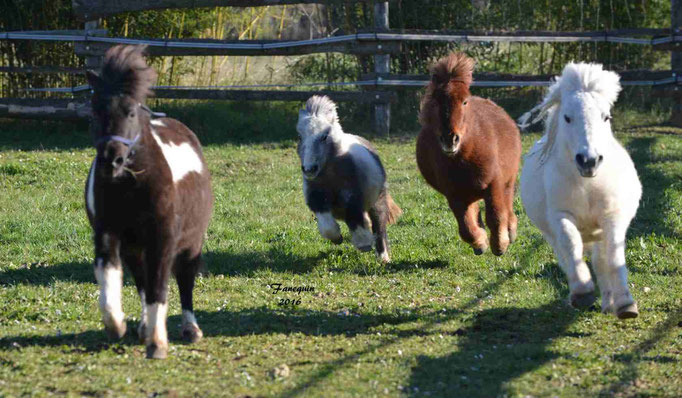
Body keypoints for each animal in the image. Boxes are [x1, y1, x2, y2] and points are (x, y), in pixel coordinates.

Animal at [85, 45, 212, 360]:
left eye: (130, 112)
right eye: (94, 111)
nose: (111, 160)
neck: (131, 186)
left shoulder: (163, 240)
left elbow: (159, 288)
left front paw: (157, 344)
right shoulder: (108, 236)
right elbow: (111, 282)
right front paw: (117, 325)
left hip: (190, 244)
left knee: (185, 282)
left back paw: (190, 329)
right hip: (135, 248)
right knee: (141, 283)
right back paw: (143, 327)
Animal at [296, 95, 402, 262]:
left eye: (324, 136)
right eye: (299, 136)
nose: (309, 169)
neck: (331, 175)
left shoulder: (353, 198)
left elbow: (356, 218)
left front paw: (364, 244)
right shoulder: (317, 198)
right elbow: (327, 226)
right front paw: (337, 238)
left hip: (378, 200)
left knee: (379, 226)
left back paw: (383, 257)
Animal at [414, 52, 520, 256]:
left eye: (464, 101)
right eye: (436, 101)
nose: (450, 139)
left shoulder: (494, 185)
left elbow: (496, 216)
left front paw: (500, 245)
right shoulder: (454, 195)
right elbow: (466, 228)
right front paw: (481, 242)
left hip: (507, 181)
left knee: (507, 203)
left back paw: (510, 231)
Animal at [516, 63, 640, 322]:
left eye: (606, 116)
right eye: (567, 117)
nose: (589, 160)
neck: (588, 186)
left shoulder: (612, 216)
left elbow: (614, 256)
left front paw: (625, 303)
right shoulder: (560, 216)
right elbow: (571, 244)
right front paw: (582, 291)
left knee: (601, 261)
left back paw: (609, 303)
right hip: (551, 233)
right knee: (567, 256)